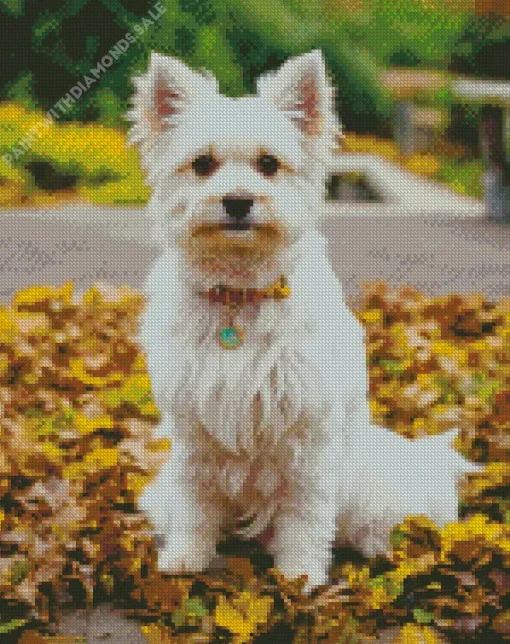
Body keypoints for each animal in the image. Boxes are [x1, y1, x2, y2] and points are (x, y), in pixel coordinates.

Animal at [129, 50, 480, 588]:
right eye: (203, 164)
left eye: (269, 165)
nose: (238, 201)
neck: (240, 296)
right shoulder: (194, 432)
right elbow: (195, 502)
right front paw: (187, 557)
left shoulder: (307, 436)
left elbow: (305, 513)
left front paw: (299, 575)